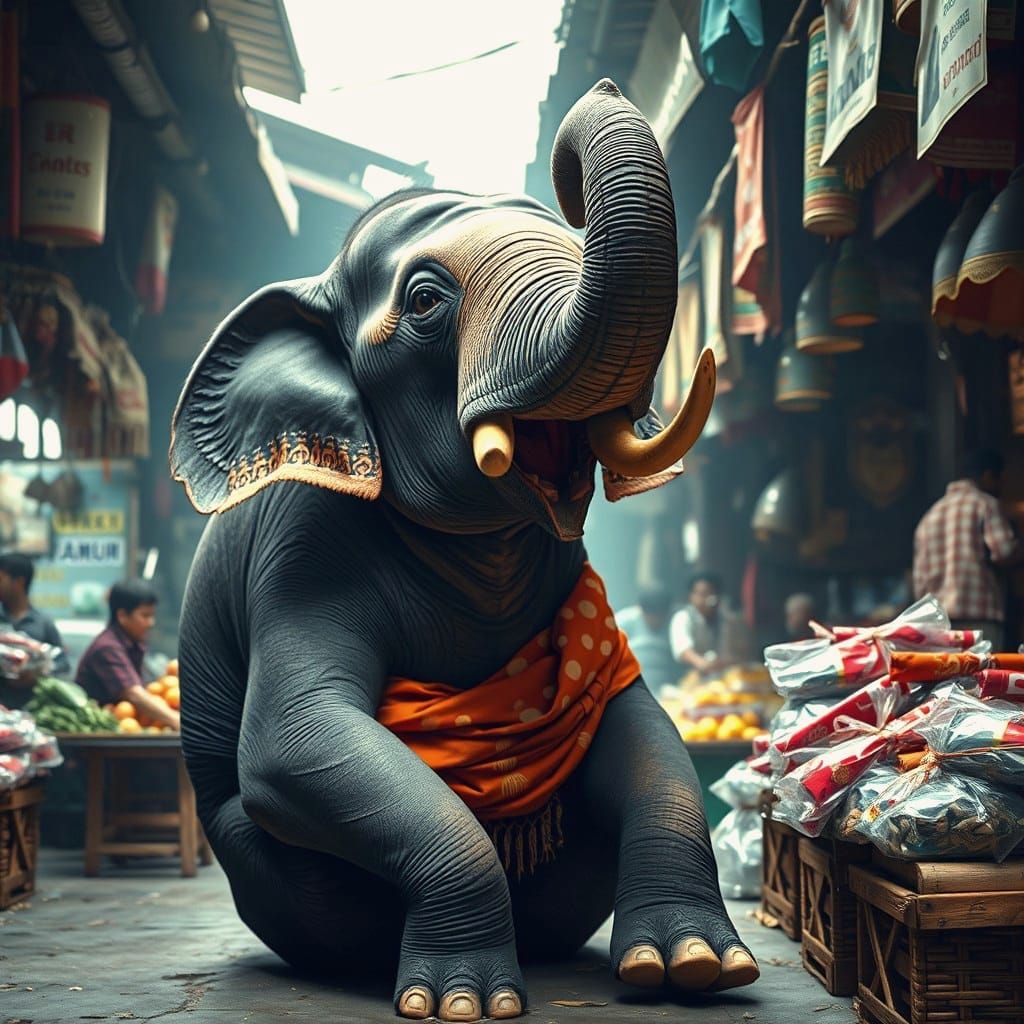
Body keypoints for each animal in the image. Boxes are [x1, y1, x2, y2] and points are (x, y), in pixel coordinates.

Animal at [170, 80, 758, 1023]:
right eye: (423, 302)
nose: (599, 89)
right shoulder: (300, 547)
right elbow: (294, 739)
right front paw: (459, 1004)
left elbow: (637, 723)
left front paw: (699, 967)